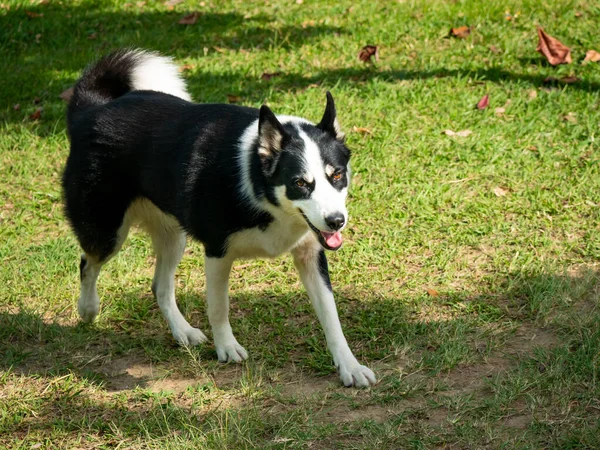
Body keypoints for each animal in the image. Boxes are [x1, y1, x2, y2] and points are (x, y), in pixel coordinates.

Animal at [64, 48, 376, 386]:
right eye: (300, 184)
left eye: (337, 175)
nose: (336, 221)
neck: (257, 181)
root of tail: (91, 111)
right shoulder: (217, 252)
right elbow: (218, 306)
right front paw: (226, 347)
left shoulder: (311, 254)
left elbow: (331, 316)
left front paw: (349, 366)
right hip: (106, 230)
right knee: (88, 262)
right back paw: (88, 309)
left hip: (173, 235)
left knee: (160, 286)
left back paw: (183, 331)